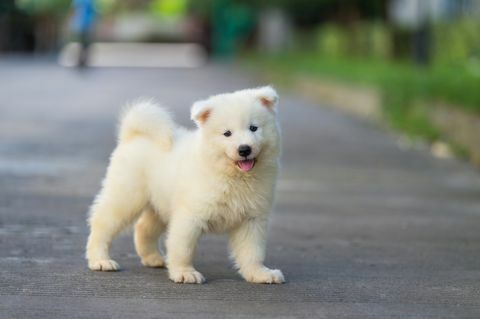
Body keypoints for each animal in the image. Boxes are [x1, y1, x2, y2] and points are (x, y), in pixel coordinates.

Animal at [86, 85, 284, 284]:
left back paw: (154, 258)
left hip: (160, 204)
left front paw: (259, 273)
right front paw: (184, 272)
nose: (244, 149)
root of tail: (134, 135)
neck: (233, 176)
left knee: (143, 227)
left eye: (254, 128)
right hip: (126, 197)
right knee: (102, 224)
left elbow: (253, 252)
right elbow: (183, 248)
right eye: (227, 133)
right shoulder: (190, 215)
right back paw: (100, 260)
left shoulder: (252, 219)